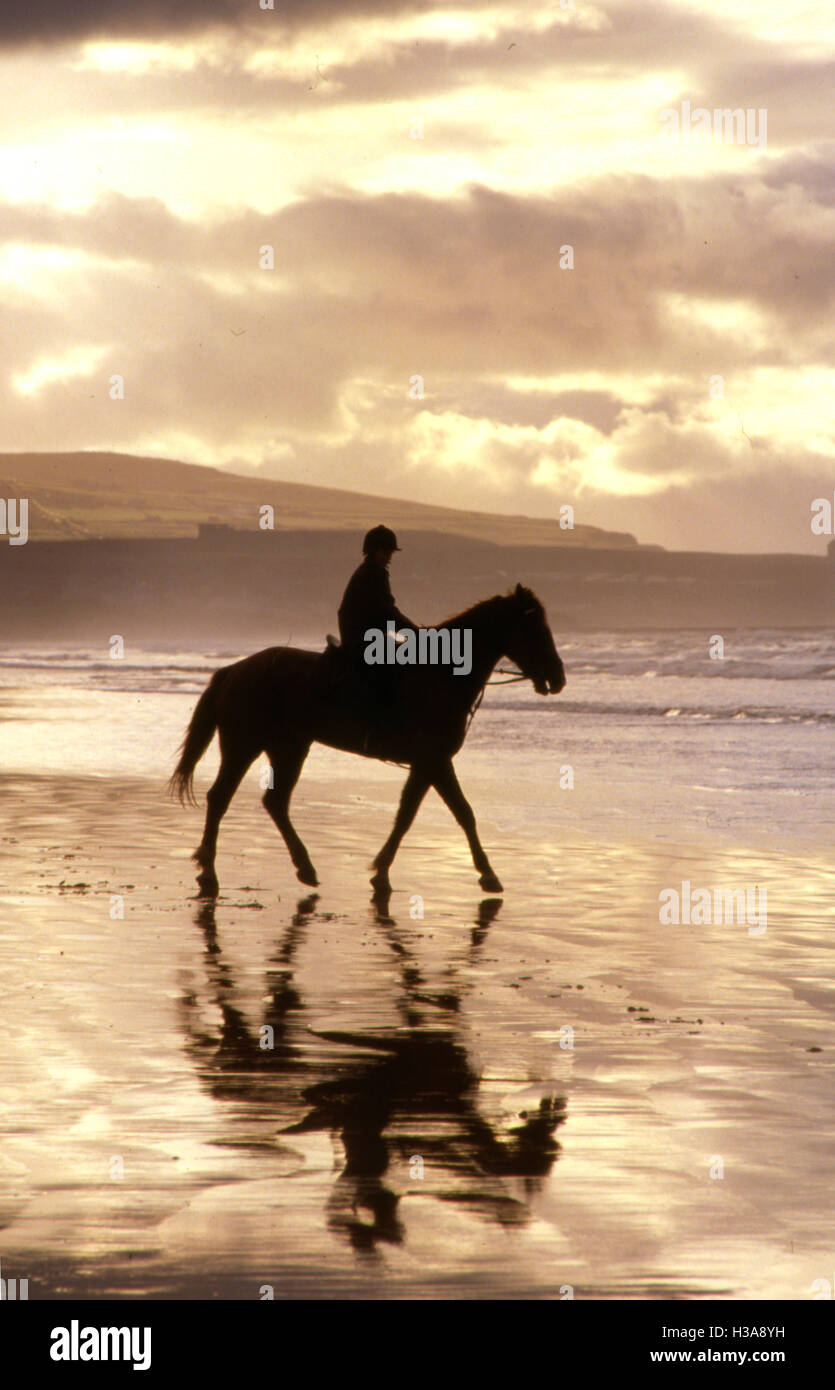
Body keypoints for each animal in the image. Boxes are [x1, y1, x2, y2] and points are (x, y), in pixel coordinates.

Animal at [166, 581, 564, 895]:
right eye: (536, 629)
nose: (558, 677)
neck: (443, 675)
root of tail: (234, 670)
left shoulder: (426, 764)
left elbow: (407, 816)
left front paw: (382, 872)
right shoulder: (435, 761)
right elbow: (462, 813)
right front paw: (488, 875)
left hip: (289, 747)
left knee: (275, 802)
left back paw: (304, 867)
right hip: (244, 745)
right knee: (221, 798)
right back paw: (209, 870)